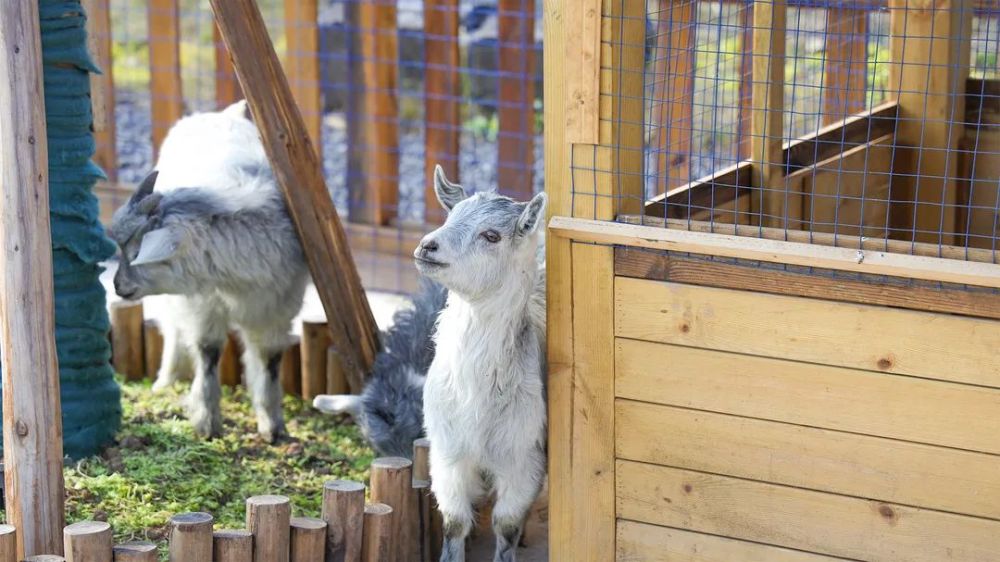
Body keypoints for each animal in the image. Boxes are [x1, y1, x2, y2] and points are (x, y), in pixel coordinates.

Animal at [107, 100, 306, 442]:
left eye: (137, 255)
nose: (119, 286)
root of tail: (221, 114)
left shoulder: (278, 310)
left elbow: (269, 359)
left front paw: (272, 426)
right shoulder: (202, 304)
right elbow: (208, 351)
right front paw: (207, 422)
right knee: (172, 330)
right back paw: (166, 380)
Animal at [414, 165, 548, 560]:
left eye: (491, 235)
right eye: (451, 216)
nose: (428, 245)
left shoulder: (525, 459)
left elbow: (506, 524)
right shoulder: (447, 453)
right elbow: (454, 521)